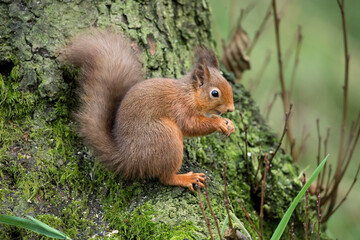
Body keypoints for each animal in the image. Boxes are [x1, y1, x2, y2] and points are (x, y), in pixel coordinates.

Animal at [61, 30, 236, 192]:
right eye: (215, 93)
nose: (231, 109)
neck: (190, 94)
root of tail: (128, 157)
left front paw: (229, 123)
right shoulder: (180, 107)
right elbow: (191, 125)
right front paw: (218, 122)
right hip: (165, 136)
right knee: (165, 177)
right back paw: (186, 179)